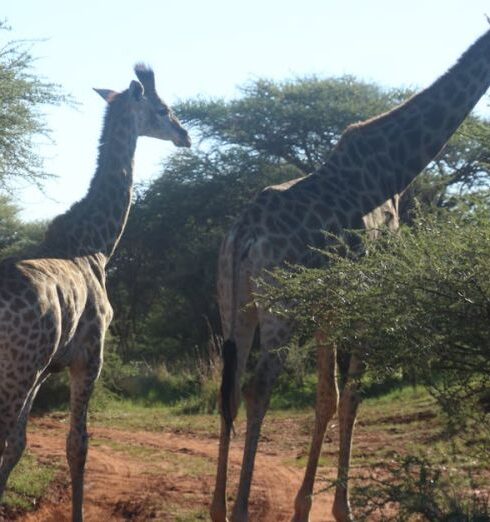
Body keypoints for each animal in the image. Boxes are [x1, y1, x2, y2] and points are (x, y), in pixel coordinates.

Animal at [0, 64, 189, 520]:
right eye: (163, 109)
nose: (185, 135)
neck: (96, 244)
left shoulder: (43, 369)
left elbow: (18, 446)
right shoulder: (89, 356)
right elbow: (77, 444)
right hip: (14, 371)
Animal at [210, 27, 490, 520]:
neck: (391, 168)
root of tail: (243, 233)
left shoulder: (328, 305)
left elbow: (328, 397)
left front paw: (305, 505)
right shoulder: (368, 291)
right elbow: (353, 396)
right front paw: (342, 507)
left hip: (234, 304)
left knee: (230, 391)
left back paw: (218, 509)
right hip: (280, 307)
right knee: (258, 388)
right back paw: (241, 509)